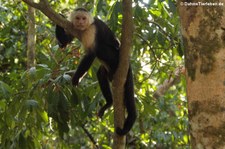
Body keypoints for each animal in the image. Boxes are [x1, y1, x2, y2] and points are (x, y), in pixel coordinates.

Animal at [55, 8, 136, 136]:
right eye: (78, 18)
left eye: (84, 18)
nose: (81, 22)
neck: (85, 28)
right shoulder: (72, 27)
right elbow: (64, 42)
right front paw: (59, 17)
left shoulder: (91, 30)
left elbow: (91, 53)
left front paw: (76, 77)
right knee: (101, 74)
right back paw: (109, 102)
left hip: (114, 57)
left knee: (99, 48)